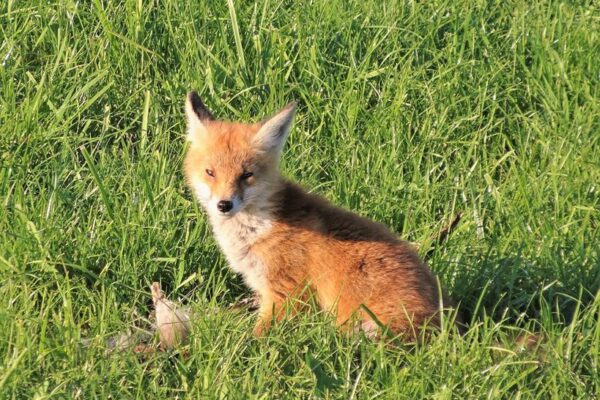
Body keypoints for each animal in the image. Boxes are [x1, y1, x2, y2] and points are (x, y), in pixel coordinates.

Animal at [183, 92, 454, 340]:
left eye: (246, 175)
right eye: (210, 172)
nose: (224, 204)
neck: (259, 227)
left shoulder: (287, 292)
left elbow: (258, 336)